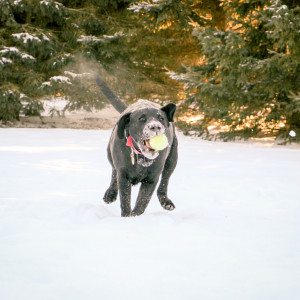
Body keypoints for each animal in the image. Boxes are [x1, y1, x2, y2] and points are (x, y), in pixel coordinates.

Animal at [96, 75, 177, 216]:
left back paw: (166, 201)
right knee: (113, 173)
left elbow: (141, 203)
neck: (142, 158)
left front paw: (134, 217)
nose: (155, 126)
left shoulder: (151, 179)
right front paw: (126, 217)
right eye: (141, 119)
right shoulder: (123, 176)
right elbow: (125, 201)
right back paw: (110, 193)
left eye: (161, 118)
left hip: (172, 160)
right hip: (110, 156)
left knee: (164, 182)